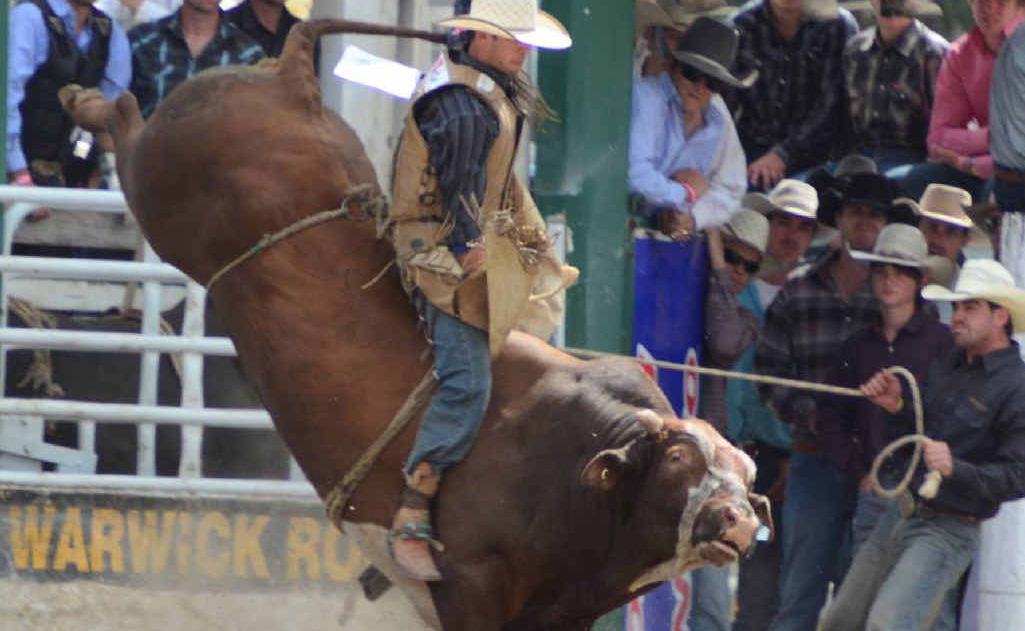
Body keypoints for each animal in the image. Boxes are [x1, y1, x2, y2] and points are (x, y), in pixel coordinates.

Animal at [64, 19, 770, 631]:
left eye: (746, 476)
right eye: (677, 456)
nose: (736, 521)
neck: (571, 458)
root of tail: (293, 74)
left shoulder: (560, 614)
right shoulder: (469, 587)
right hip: (160, 183)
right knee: (127, 120)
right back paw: (86, 102)